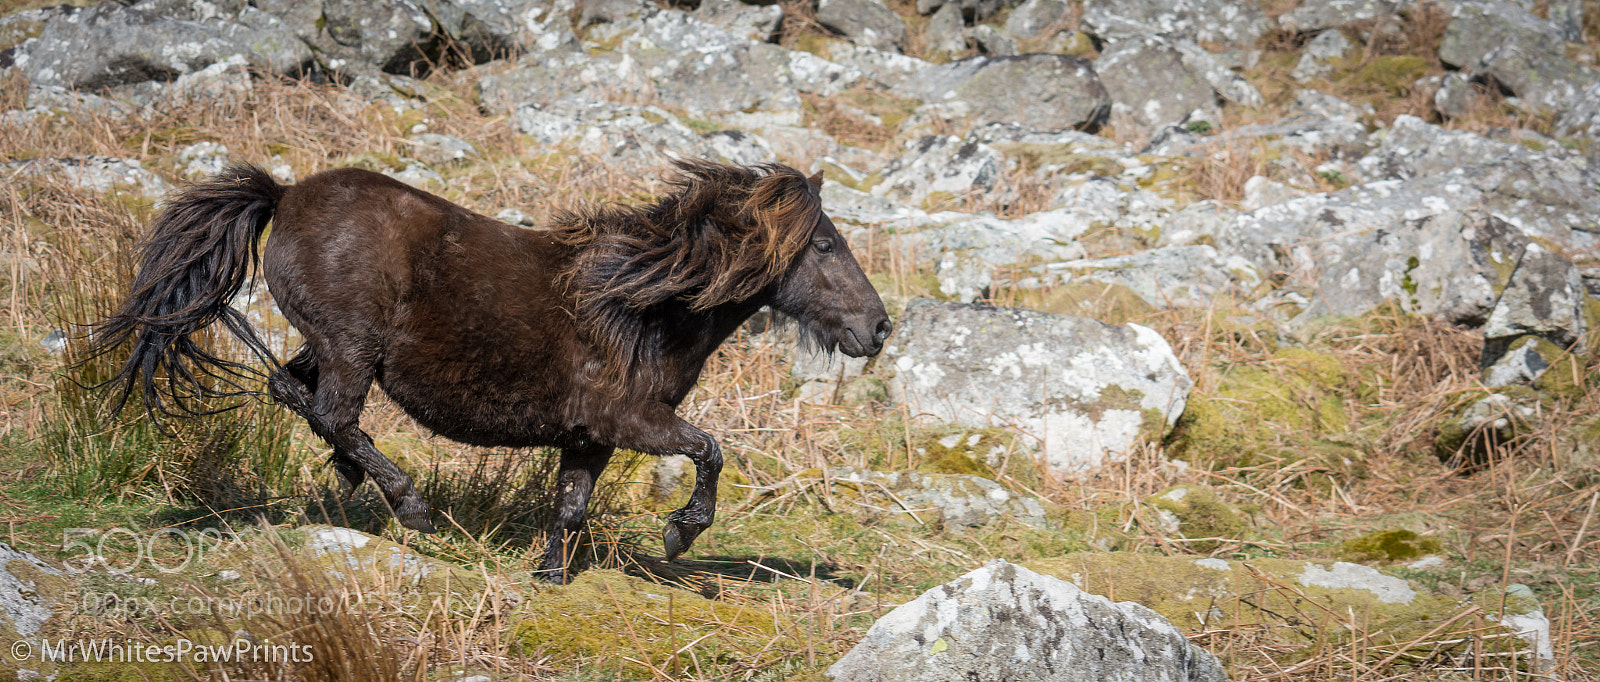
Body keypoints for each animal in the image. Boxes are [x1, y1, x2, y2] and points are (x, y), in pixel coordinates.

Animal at [87, 159, 891, 581]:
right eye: (824, 245)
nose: (877, 329)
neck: (641, 304)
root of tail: (283, 194)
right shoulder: (631, 420)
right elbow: (710, 451)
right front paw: (681, 534)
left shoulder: (588, 438)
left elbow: (570, 508)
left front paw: (552, 577)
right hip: (352, 347)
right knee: (333, 413)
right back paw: (408, 505)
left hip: (333, 347)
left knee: (292, 390)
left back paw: (352, 482)